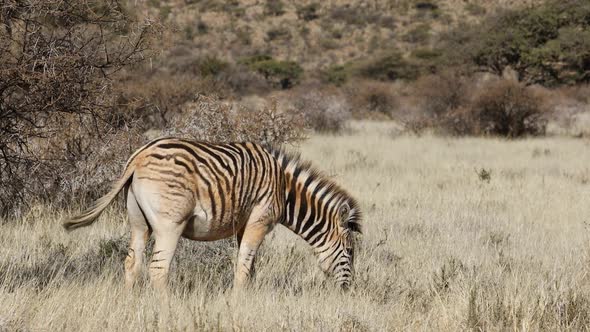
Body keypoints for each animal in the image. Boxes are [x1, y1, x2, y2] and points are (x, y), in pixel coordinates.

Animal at [63, 136, 360, 290]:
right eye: (349, 251)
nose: (349, 288)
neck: (284, 190)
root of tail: (138, 157)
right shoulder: (260, 220)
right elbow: (243, 266)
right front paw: (239, 302)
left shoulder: (244, 224)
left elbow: (250, 266)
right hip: (170, 224)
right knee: (158, 269)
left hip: (138, 221)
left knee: (131, 264)